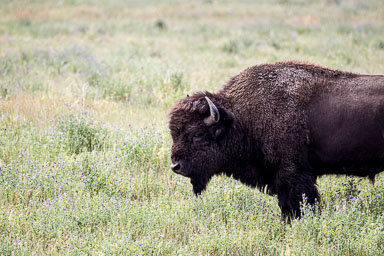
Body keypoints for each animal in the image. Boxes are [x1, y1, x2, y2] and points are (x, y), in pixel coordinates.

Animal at [168, 61, 384, 218]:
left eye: (197, 134)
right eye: (174, 133)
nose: (176, 166)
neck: (242, 118)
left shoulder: (293, 175)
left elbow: (297, 205)